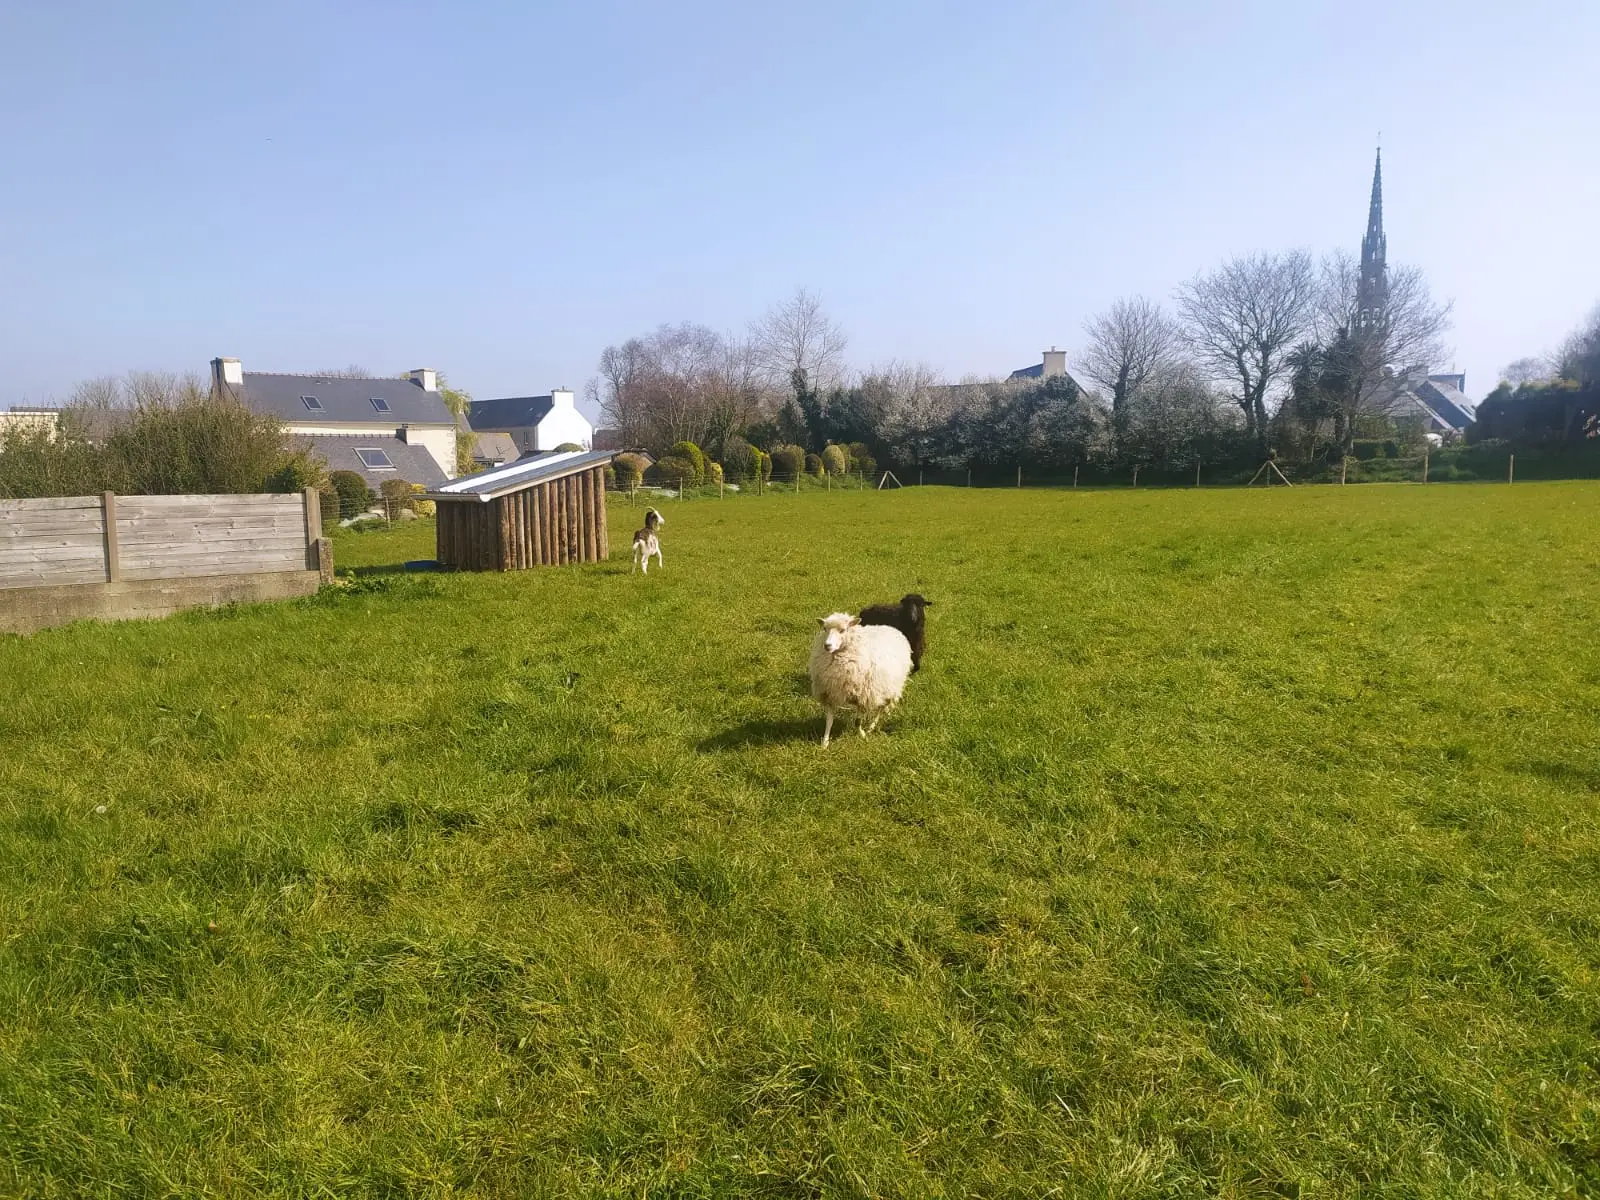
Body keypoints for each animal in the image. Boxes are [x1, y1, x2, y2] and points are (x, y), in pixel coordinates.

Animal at [808, 612, 913, 747]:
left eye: (843, 630)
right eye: (825, 629)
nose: (827, 646)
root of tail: (891, 628)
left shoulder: (864, 697)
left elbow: (857, 722)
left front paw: (863, 736)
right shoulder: (830, 694)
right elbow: (829, 721)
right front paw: (825, 743)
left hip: (889, 688)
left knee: (881, 708)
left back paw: (871, 727)